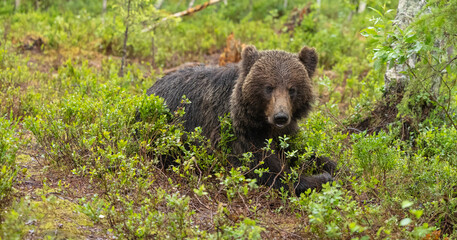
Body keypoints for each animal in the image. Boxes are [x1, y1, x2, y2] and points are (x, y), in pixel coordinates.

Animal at [147, 46, 334, 196]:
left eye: (292, 89)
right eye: (269, 87)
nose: (280, 116)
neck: (262, 122)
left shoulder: (284, 133)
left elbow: (301, 150)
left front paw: (330, 166)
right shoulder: (237, 133)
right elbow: (266, 169)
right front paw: (319, 178)